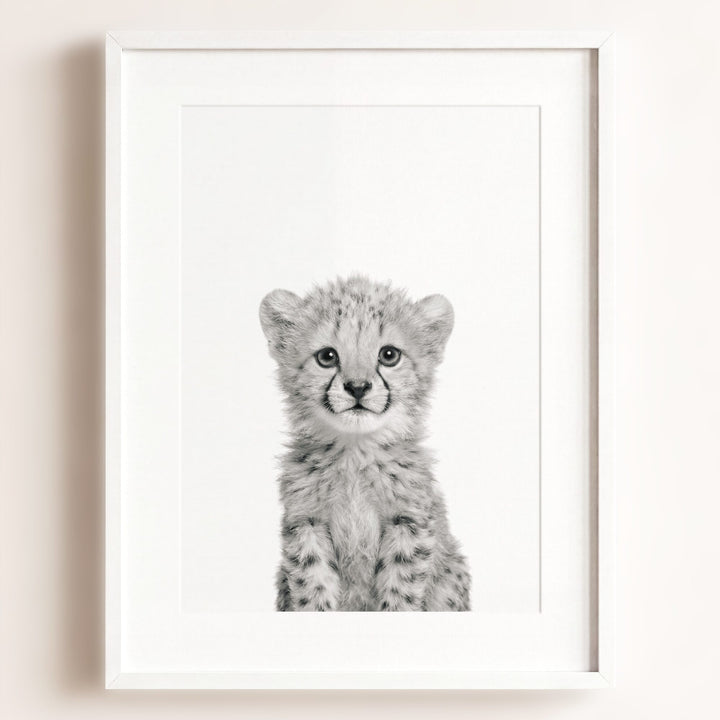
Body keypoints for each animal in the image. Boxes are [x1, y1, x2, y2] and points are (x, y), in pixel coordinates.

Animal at [259, 275, 471, 611]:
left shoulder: (408, 523)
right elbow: (312, 586)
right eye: (327, 357)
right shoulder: (306, 523)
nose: (357, 387)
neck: (355, 453)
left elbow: (400, 590)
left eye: (389, 355)